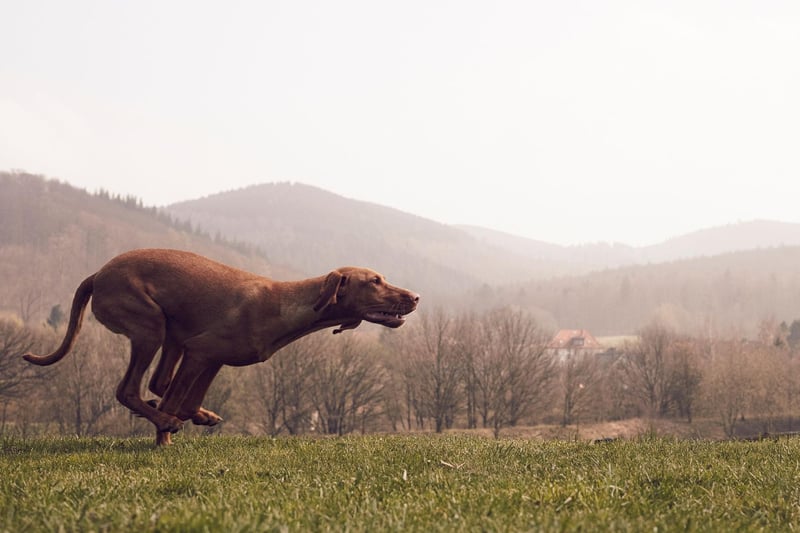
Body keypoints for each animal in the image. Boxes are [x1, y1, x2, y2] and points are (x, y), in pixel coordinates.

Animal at [23, 249, 418, 444]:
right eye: (375, 281)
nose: (415, 297)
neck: (284, 304)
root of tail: (98, 273)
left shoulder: (211, 358)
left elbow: (185, 399)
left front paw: (195, 415)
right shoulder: (201, 350)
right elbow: (176, 403)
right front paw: (164, 437)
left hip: (171, 333)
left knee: (157, 383)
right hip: (150, 327)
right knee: (128, 390)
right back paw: (161, 417)